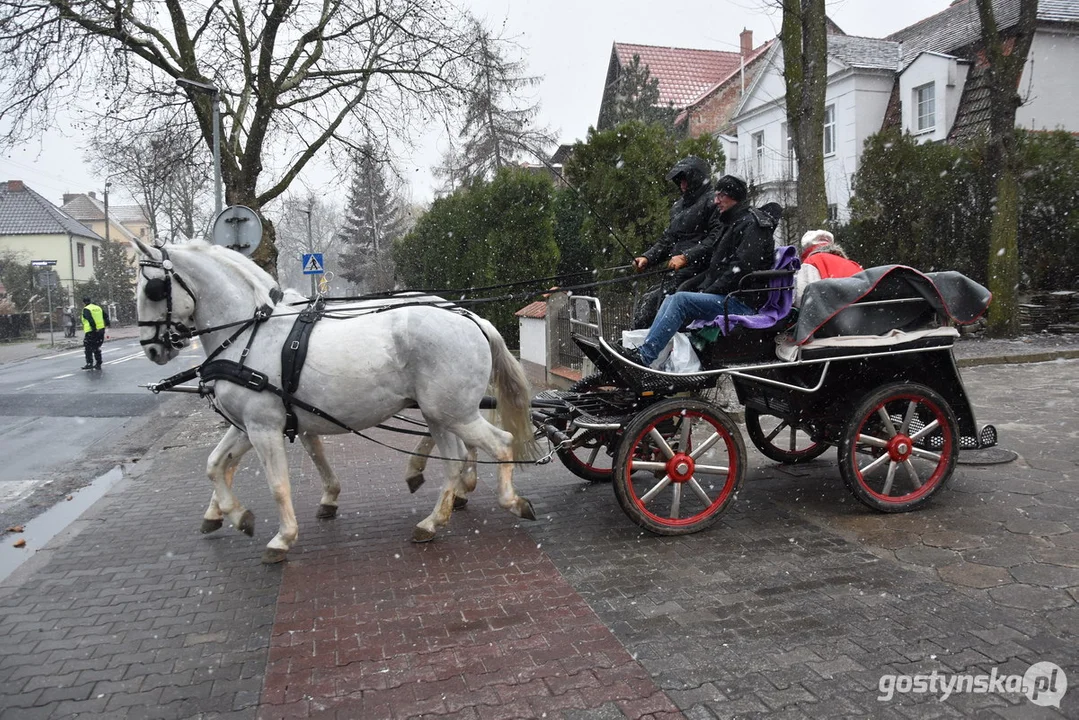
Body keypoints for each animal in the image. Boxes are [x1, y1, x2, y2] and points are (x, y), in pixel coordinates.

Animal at [132, 239, 539, 565]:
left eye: (153, 289)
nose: (151, 348)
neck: (249, 334)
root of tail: (473, 319)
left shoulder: (264, 427)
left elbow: (277, 483)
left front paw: (282, 538)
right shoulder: (248, 426)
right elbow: (216, 465)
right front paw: (236, 515)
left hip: (454, 412)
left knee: (500, 444)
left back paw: (511, 501)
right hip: (442, 413)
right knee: (455, 461)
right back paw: (433, 519)